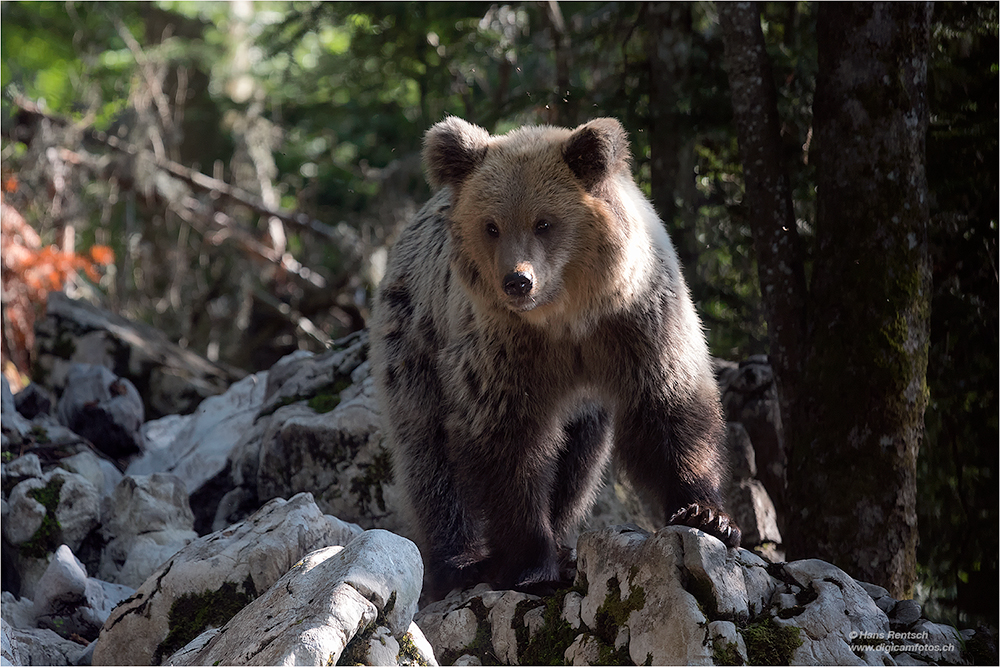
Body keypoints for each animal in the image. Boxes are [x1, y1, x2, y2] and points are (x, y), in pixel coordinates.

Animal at [372, 115, 740, 600]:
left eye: (544, 222)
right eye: (492, 226)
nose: (517, 281)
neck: (566, 318)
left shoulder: (637, 321)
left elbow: (668, 406)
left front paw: (707, 515)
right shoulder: (503, 347)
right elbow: (508, 441)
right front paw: (530, 561)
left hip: (585, 409)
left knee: (579, 462)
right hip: (416, 340)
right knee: (427, 454)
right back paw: (459, 563)